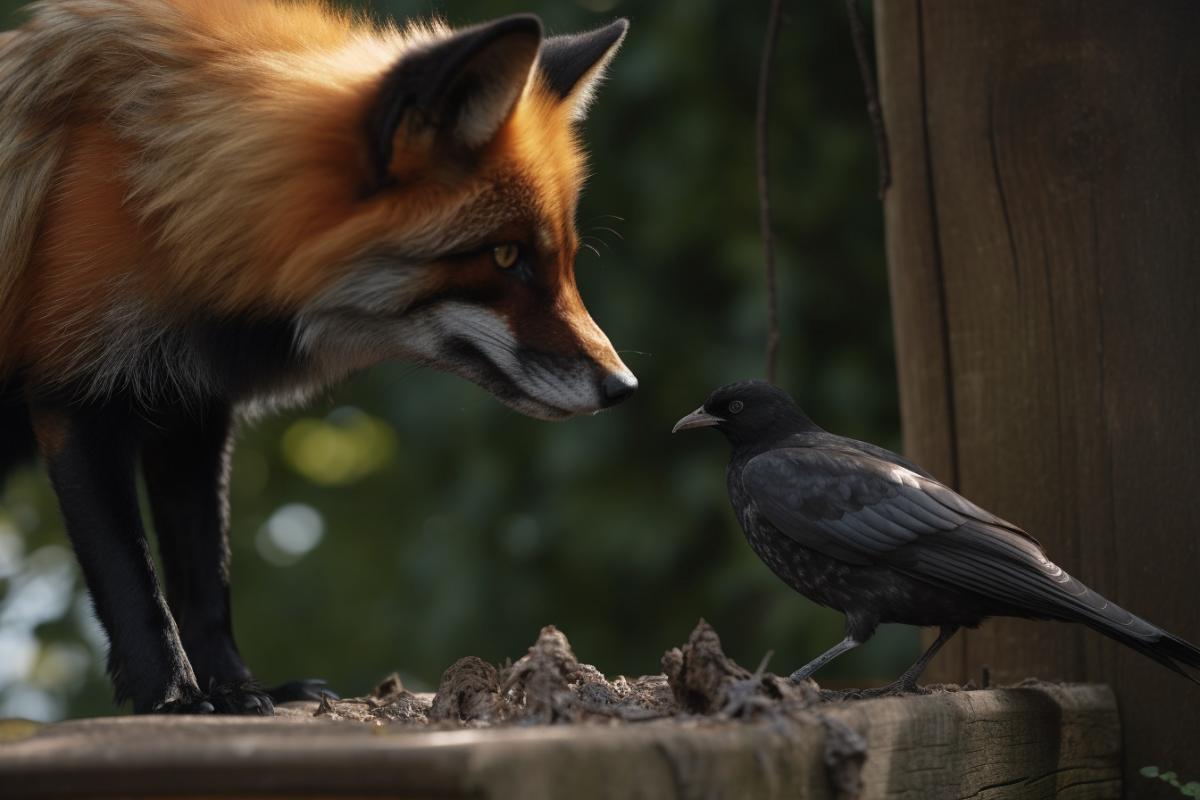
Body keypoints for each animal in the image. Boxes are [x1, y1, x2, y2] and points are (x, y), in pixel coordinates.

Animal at [0, 0, 638, 714]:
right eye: (505, 256)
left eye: (566, 261)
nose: (624, 386)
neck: (156, 202)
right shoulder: (76, 397)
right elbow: (133, 580)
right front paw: (173, 695)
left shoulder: (189, 409)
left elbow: (207, 577)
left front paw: (236, 688)